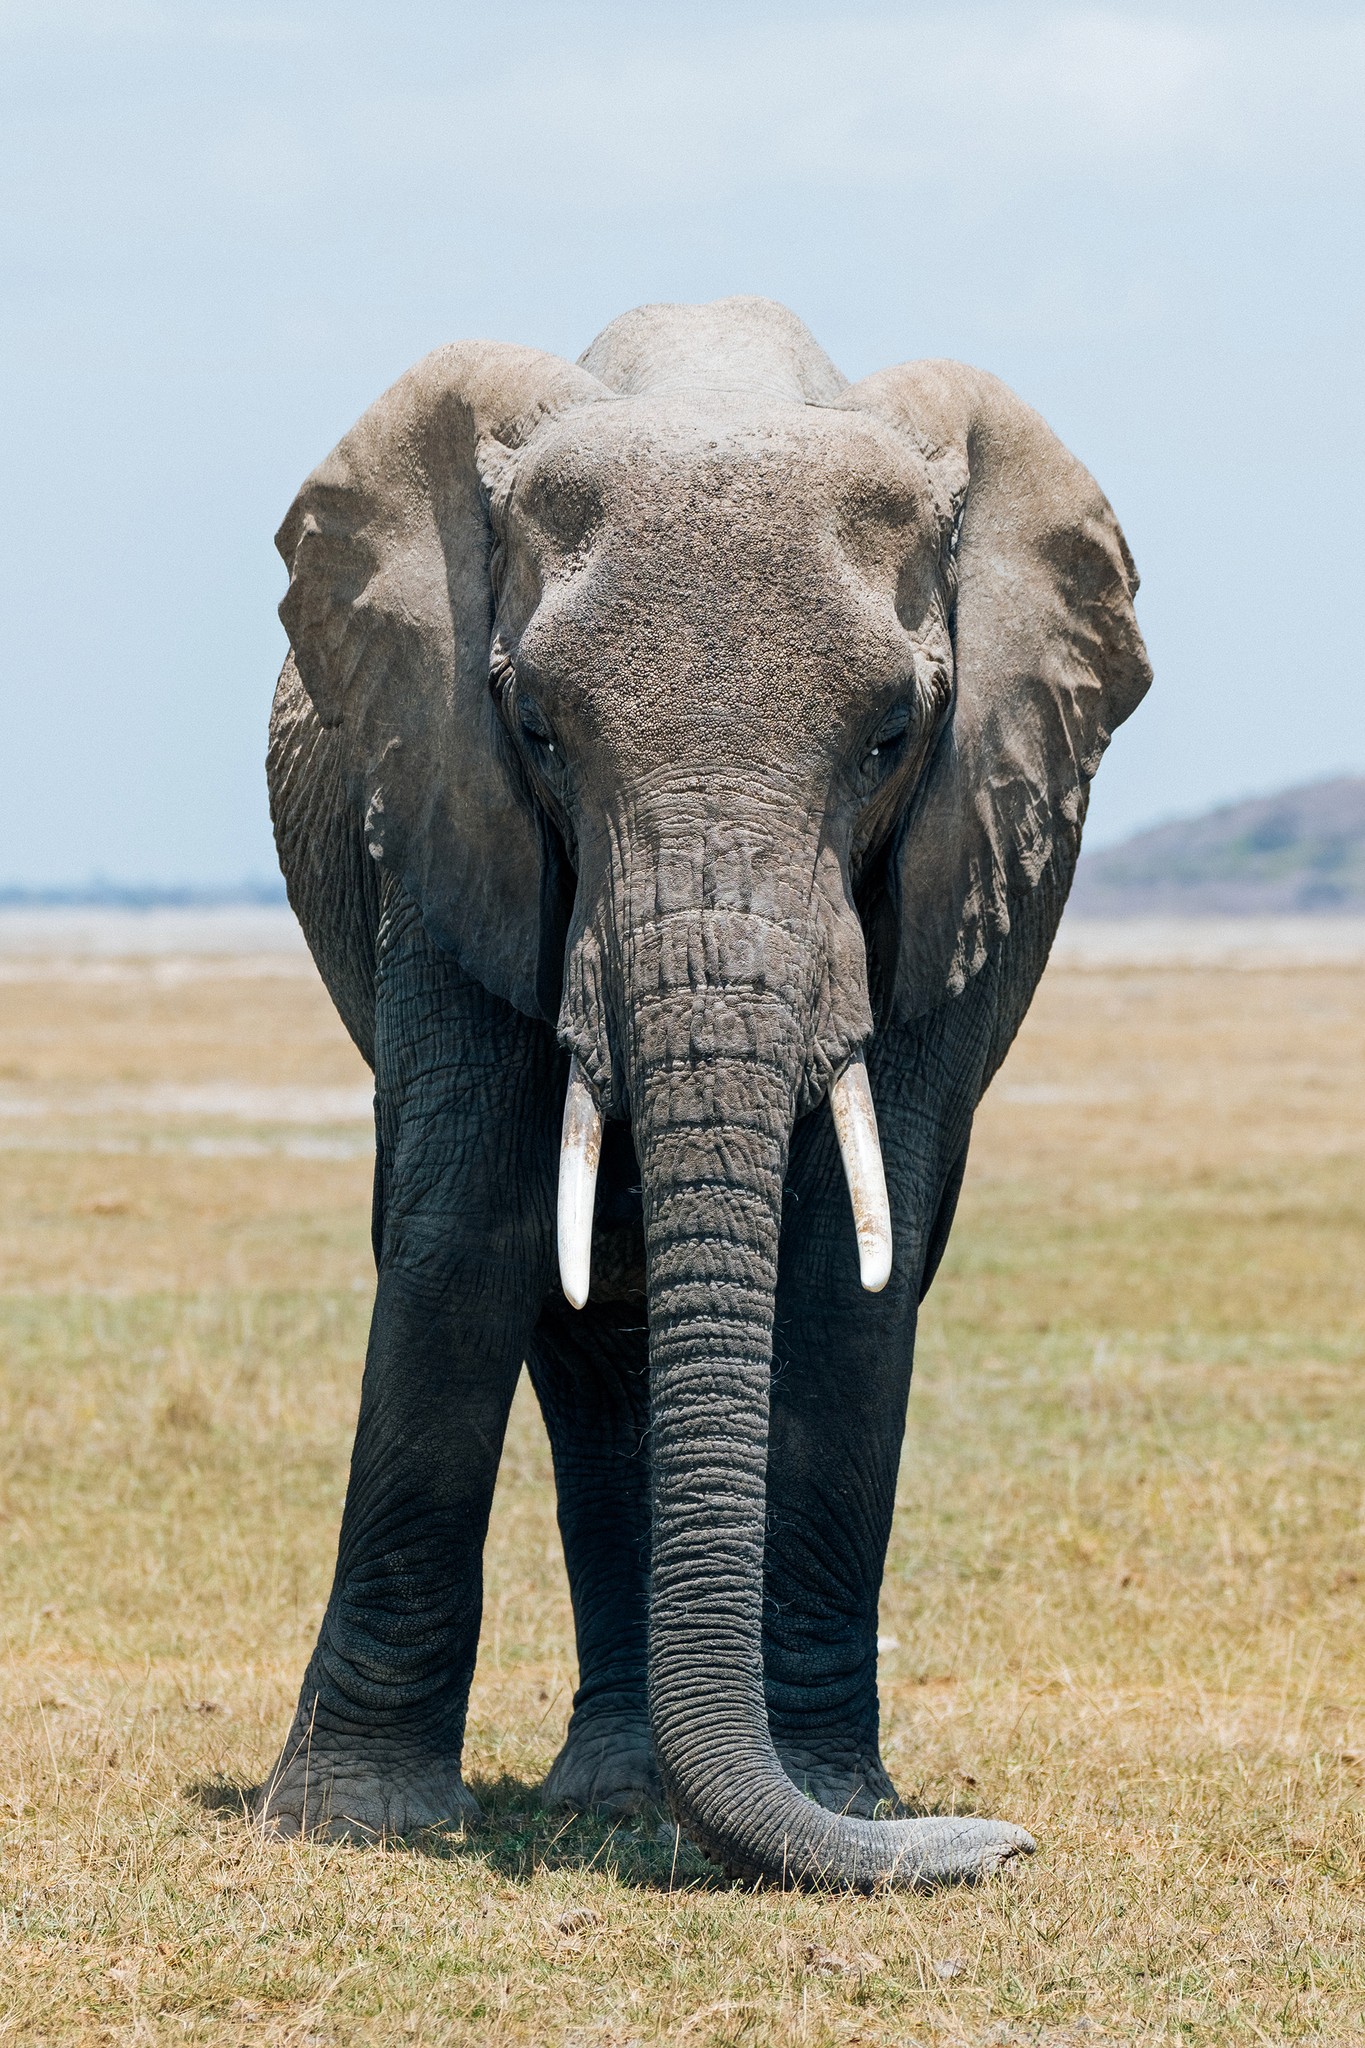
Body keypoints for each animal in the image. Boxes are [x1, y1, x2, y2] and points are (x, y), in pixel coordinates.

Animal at [258, 292, 1154, 1884]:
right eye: (537, 729)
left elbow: (846, 1263)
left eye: (891, 734)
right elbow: (465, 1234)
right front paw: (346, 1824)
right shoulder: (438, 813)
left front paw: (846, 1801)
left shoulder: (959, 857)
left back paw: (629, 1796)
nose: (1003, 1844)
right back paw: (615, 1791)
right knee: (584, 1334)